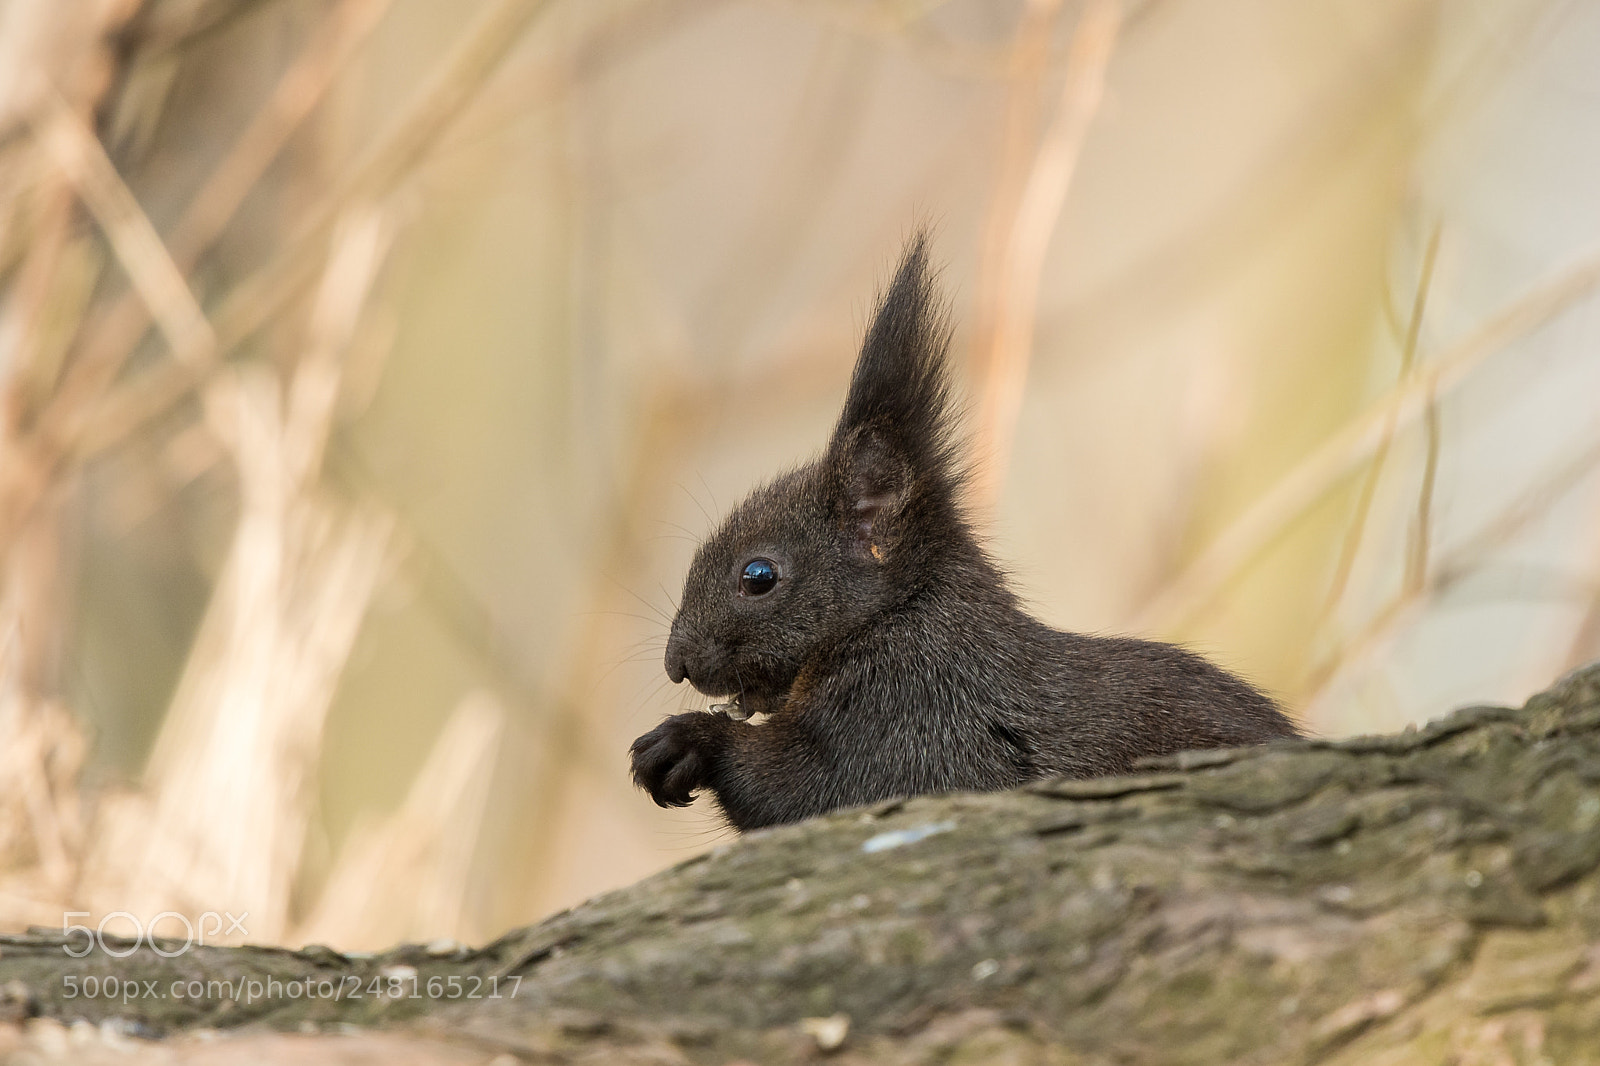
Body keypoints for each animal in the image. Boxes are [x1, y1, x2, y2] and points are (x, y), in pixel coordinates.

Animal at [630, 234, 1299, 831]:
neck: (901, 613)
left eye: (758, 575)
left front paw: (688, 740)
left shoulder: (915, 718)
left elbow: (809, 791)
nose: (675, 664)